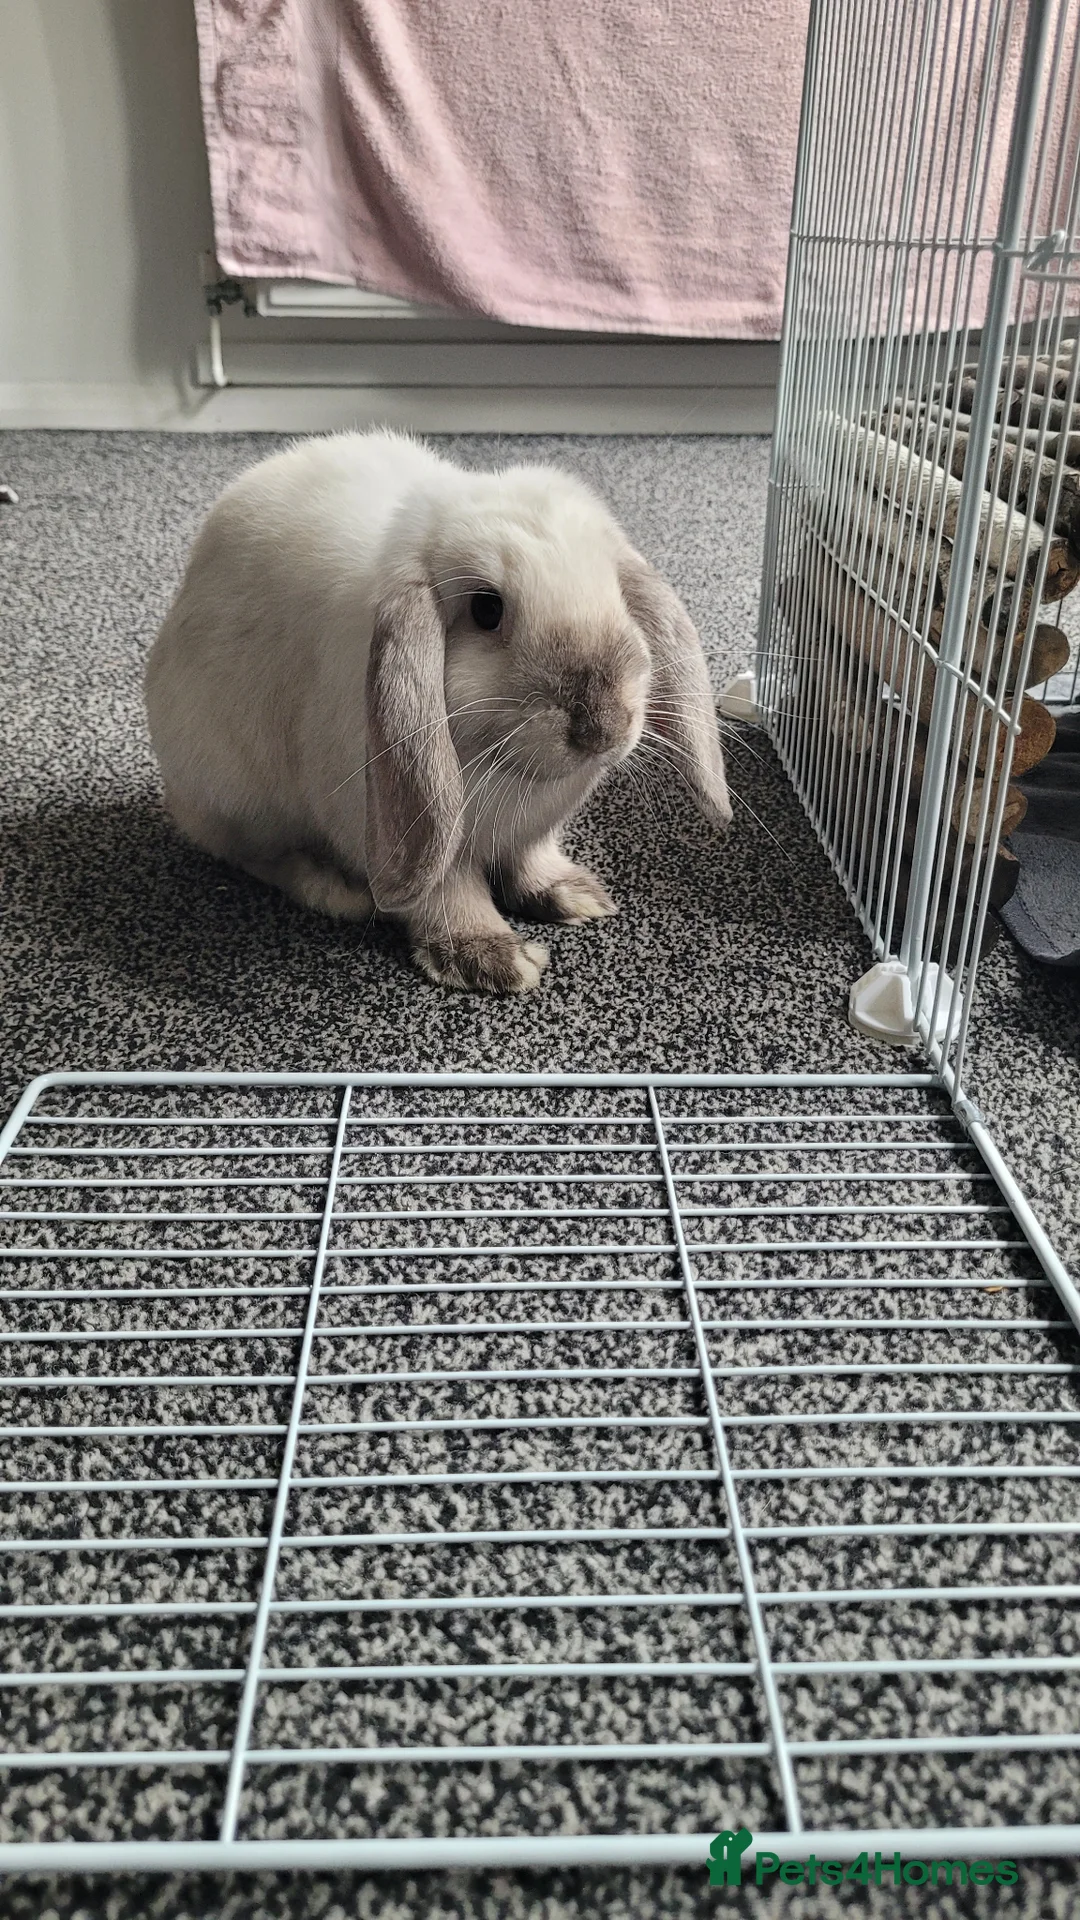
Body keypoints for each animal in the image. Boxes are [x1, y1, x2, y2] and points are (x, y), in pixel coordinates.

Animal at [144, 429, 731, 993]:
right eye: (486, 609)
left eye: (615, 594)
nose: (602, 727)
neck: (508, 771)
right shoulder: (412, 833)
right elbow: (445, 895)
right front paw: (491, 961)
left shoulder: (533, 833)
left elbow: (531, 861)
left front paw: (573, 896)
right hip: (237, 792)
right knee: (252, 853)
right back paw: (338, 891)